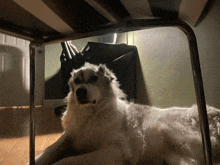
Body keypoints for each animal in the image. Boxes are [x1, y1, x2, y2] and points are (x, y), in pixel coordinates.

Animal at [29, 62, 220, 164]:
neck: (91, 115)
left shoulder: (116, 150)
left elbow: (67, 160)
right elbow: (50, 149)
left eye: (94, 78)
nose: (80, 92)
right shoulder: (70, 136)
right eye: (76, 81)